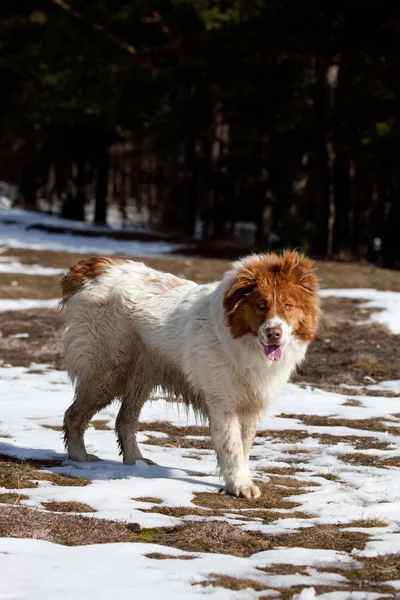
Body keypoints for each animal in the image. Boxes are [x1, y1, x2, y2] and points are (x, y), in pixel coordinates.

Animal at [61, 251, 320, 500]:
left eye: (288, 305)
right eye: (261, 305)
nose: (274, 333)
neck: (244, 343)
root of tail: (98, 266)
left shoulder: (252, 405)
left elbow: (244, 446)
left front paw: (238, 480)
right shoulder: (223, 403)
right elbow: (232, 446)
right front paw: (239, 485)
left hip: (140, 376)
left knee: (124, 420)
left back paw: (136, 461)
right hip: (107, 373)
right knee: (73, 415)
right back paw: (80, 457)